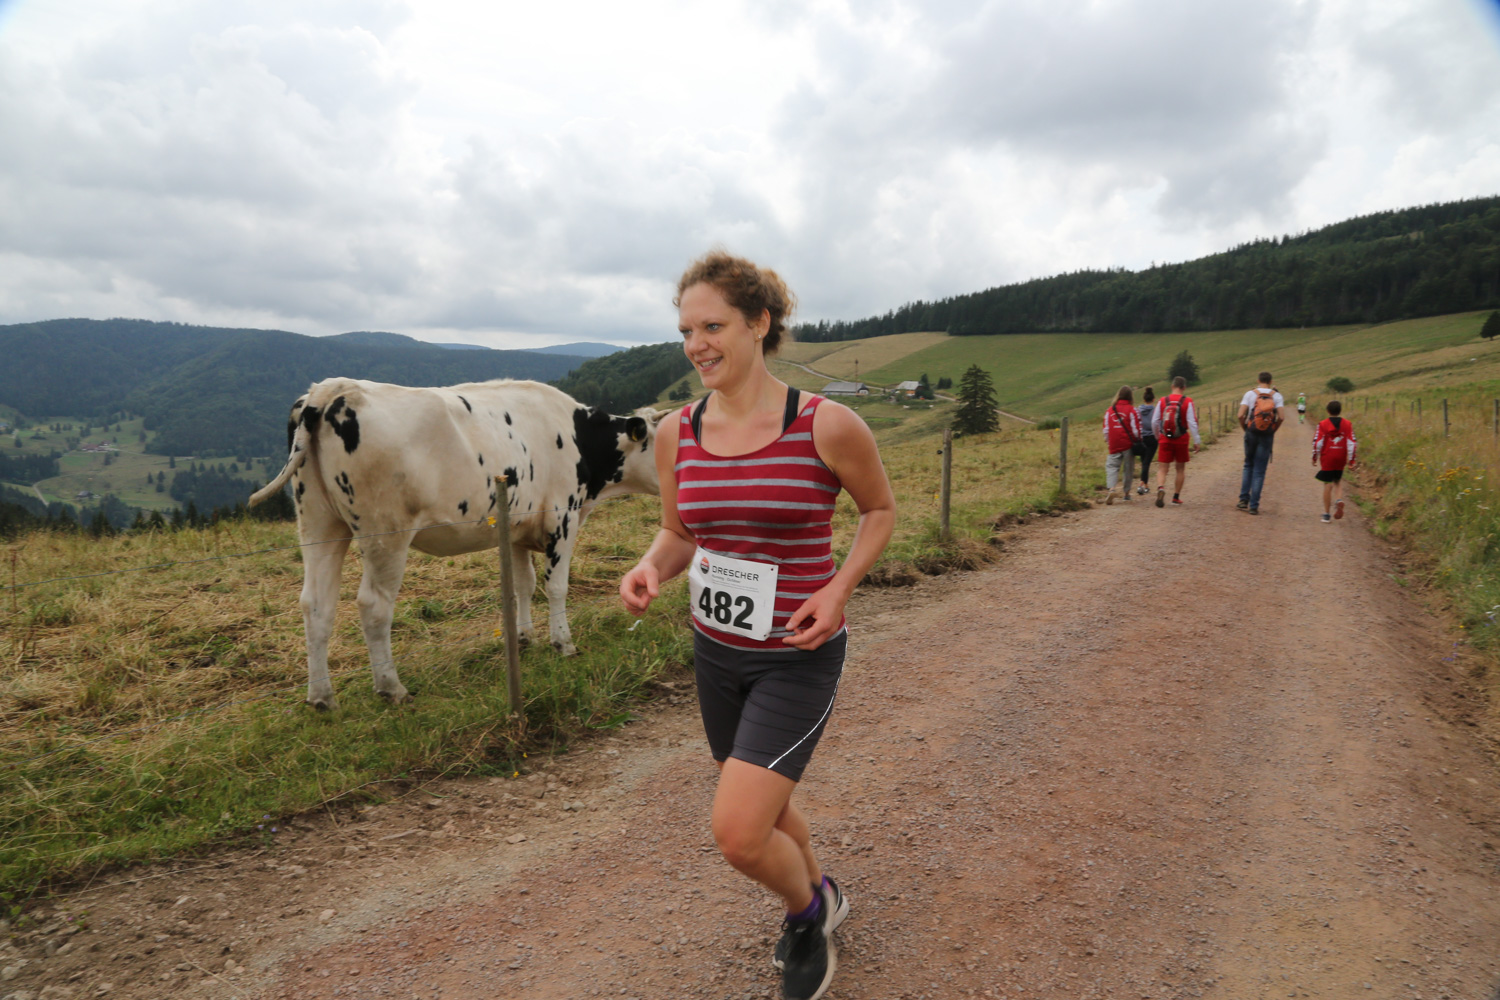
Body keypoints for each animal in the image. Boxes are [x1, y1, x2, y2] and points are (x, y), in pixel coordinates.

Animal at [249, 378, 665, 712]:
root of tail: (331, 389)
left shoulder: (517, 525)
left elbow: (523, 586)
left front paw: (523, 639)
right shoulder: (562, 518)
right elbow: (556, 587)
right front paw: (563, 644)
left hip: (318, 522)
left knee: (316, 605)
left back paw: (321, 697)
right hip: (385, 533)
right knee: (373, 606)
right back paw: (391, 688)